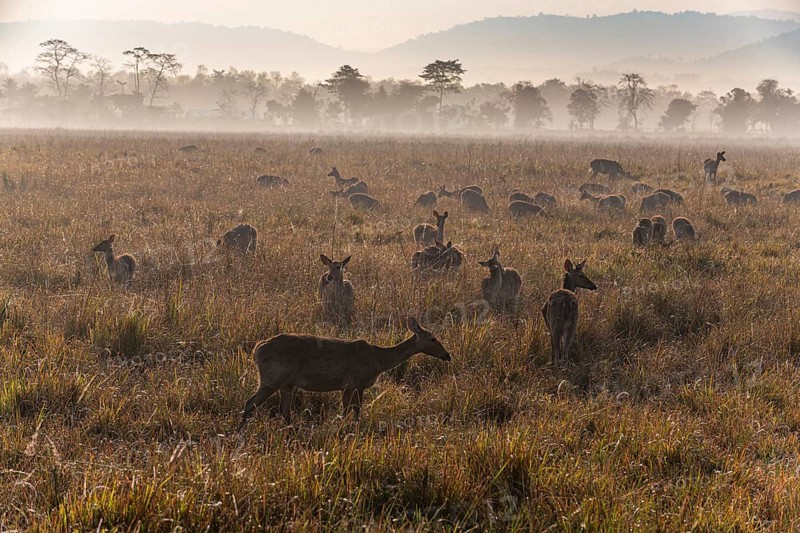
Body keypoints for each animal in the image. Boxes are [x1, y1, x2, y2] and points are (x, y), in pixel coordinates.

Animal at [238, 317, 451, 427]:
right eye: (432, 338)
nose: (447, 355)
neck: (378, 360)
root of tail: (257, 349)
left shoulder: (346, 386)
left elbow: (347, 411)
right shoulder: (356, 381)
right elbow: (354, 411)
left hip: (286, 384)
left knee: (284, 410)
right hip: (272, 377)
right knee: (250, 403)